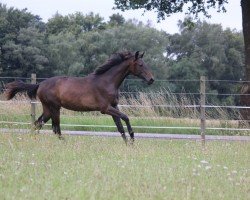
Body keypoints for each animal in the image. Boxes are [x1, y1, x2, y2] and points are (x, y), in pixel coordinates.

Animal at [4, 50, 154, 143]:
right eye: (140, 64)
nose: (151, 80)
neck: (107, 82)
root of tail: (40, 84)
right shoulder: (105, 108)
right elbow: (126, 117)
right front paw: (133, 139)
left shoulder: (114, 106)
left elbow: (120, 127)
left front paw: (128, 144)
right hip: (54, 108)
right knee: (55, 128)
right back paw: (64, 143)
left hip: (48, 109)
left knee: (38, 124)